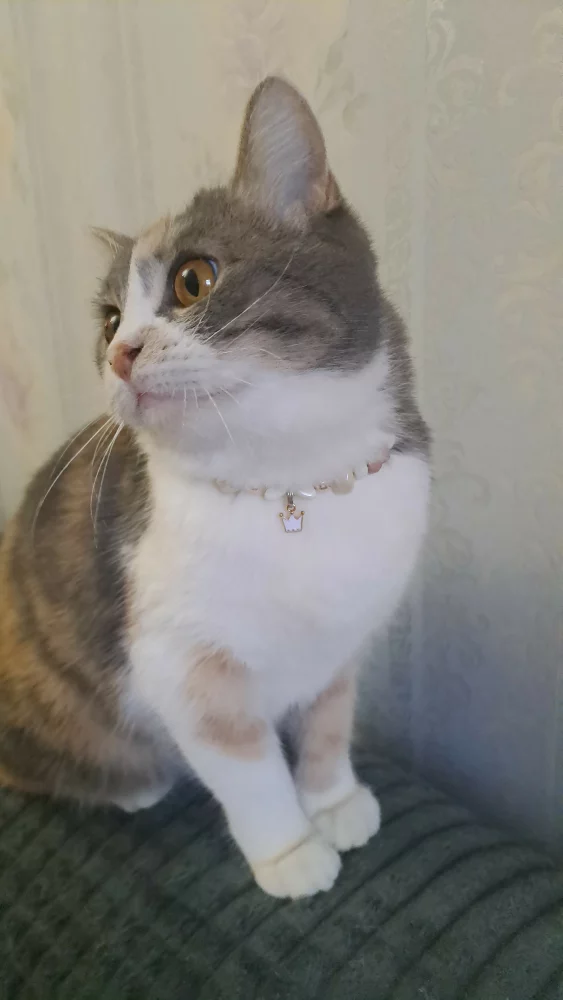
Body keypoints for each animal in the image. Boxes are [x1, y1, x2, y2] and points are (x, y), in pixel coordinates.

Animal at [0, 78, 430, 898]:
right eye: (109, 321)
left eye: (194, 279)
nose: (121, 353)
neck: (289, 486)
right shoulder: (180, 665)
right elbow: (247, 766)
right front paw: (289, 850)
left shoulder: (342, 640)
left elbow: (330, 719)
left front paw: (333, 800)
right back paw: (133, 787)